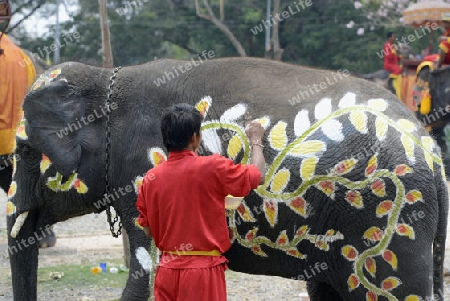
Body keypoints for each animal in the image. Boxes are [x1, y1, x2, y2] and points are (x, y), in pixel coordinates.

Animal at [5, 56, 448, 300]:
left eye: (25, 152)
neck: (106, 79)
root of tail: (431, 151)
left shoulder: (140, 169)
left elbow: (144, 274)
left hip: (388, 219)